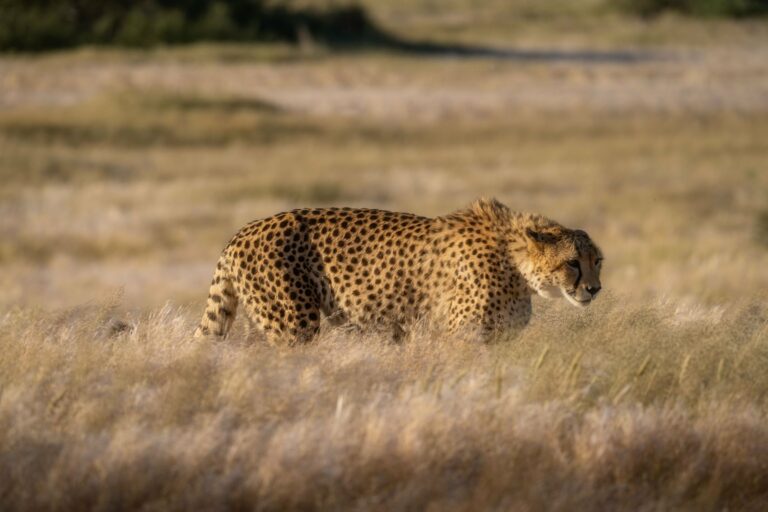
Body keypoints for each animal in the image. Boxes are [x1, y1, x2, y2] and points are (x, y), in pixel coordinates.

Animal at [194, 197, 603, 343]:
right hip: (293, 323)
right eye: (572, 263)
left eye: (597, 261)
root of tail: (244, 230)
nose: (594, 289)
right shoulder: (459, 337)